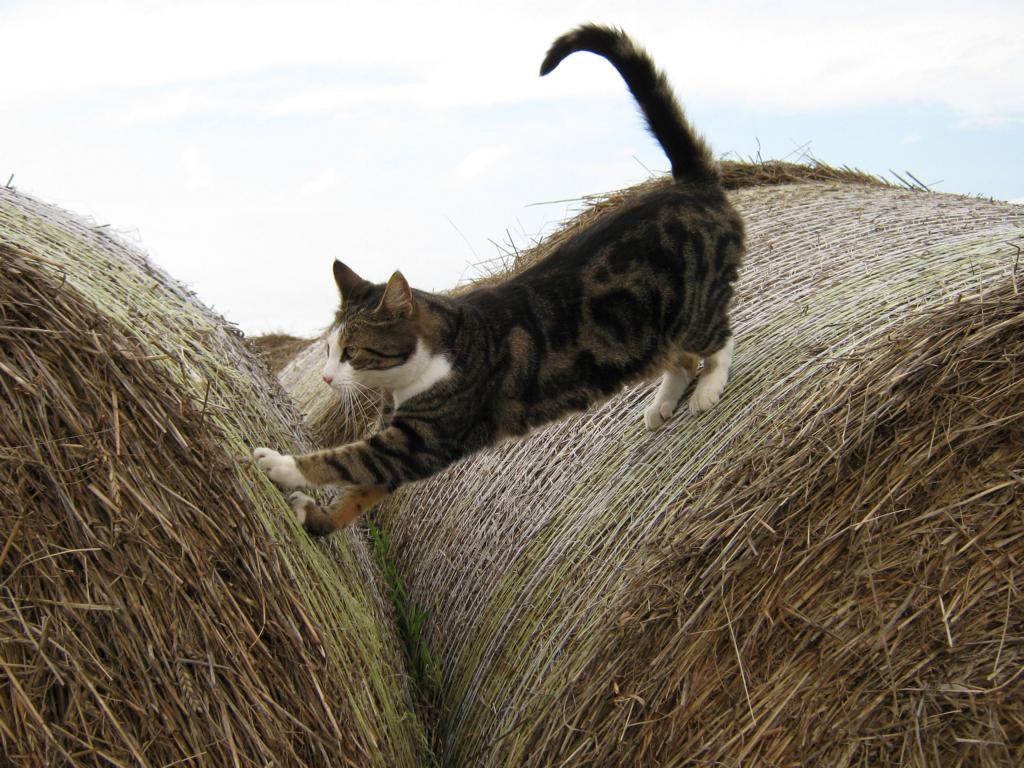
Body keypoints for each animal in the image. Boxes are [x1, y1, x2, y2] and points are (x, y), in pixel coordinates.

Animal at [251, 24, 741, 536]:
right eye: (327, 349)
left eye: (351, 352)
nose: (326, 377)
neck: (423, 365)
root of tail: (691, 185)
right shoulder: (403, 443)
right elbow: (359, 493)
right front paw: (315, 519)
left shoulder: (419, 440)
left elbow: (345, 459)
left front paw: (281, 465)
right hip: (646, 334)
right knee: (680, 358)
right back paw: (663, 403)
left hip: (692, 309)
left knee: (720, 337)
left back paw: (709, 388)